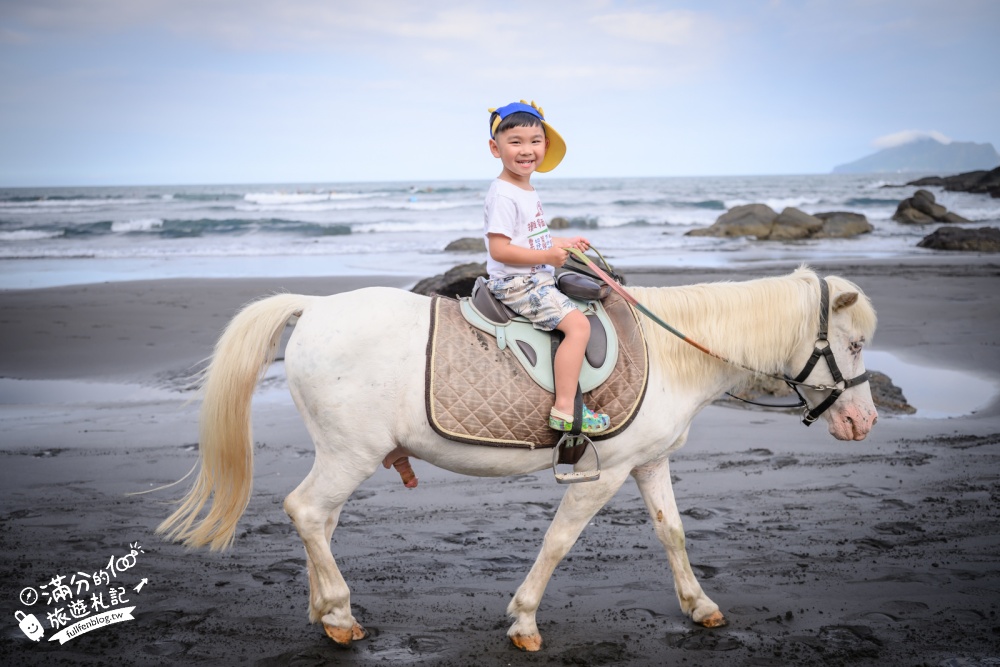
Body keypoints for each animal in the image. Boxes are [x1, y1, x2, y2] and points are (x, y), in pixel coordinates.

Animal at [156, 266, 877, 651]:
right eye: (856, 344)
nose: (864, 422)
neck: (674, 353)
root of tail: (313, 307)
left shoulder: (648, 464)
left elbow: (672, 532)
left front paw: (699, 606)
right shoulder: (603, 473)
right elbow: (558, 541)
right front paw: (525, 619)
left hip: (340, 452)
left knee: (320, 521)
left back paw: (323, 611)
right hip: (350, 454)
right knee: (306, 511)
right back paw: (338, 612)